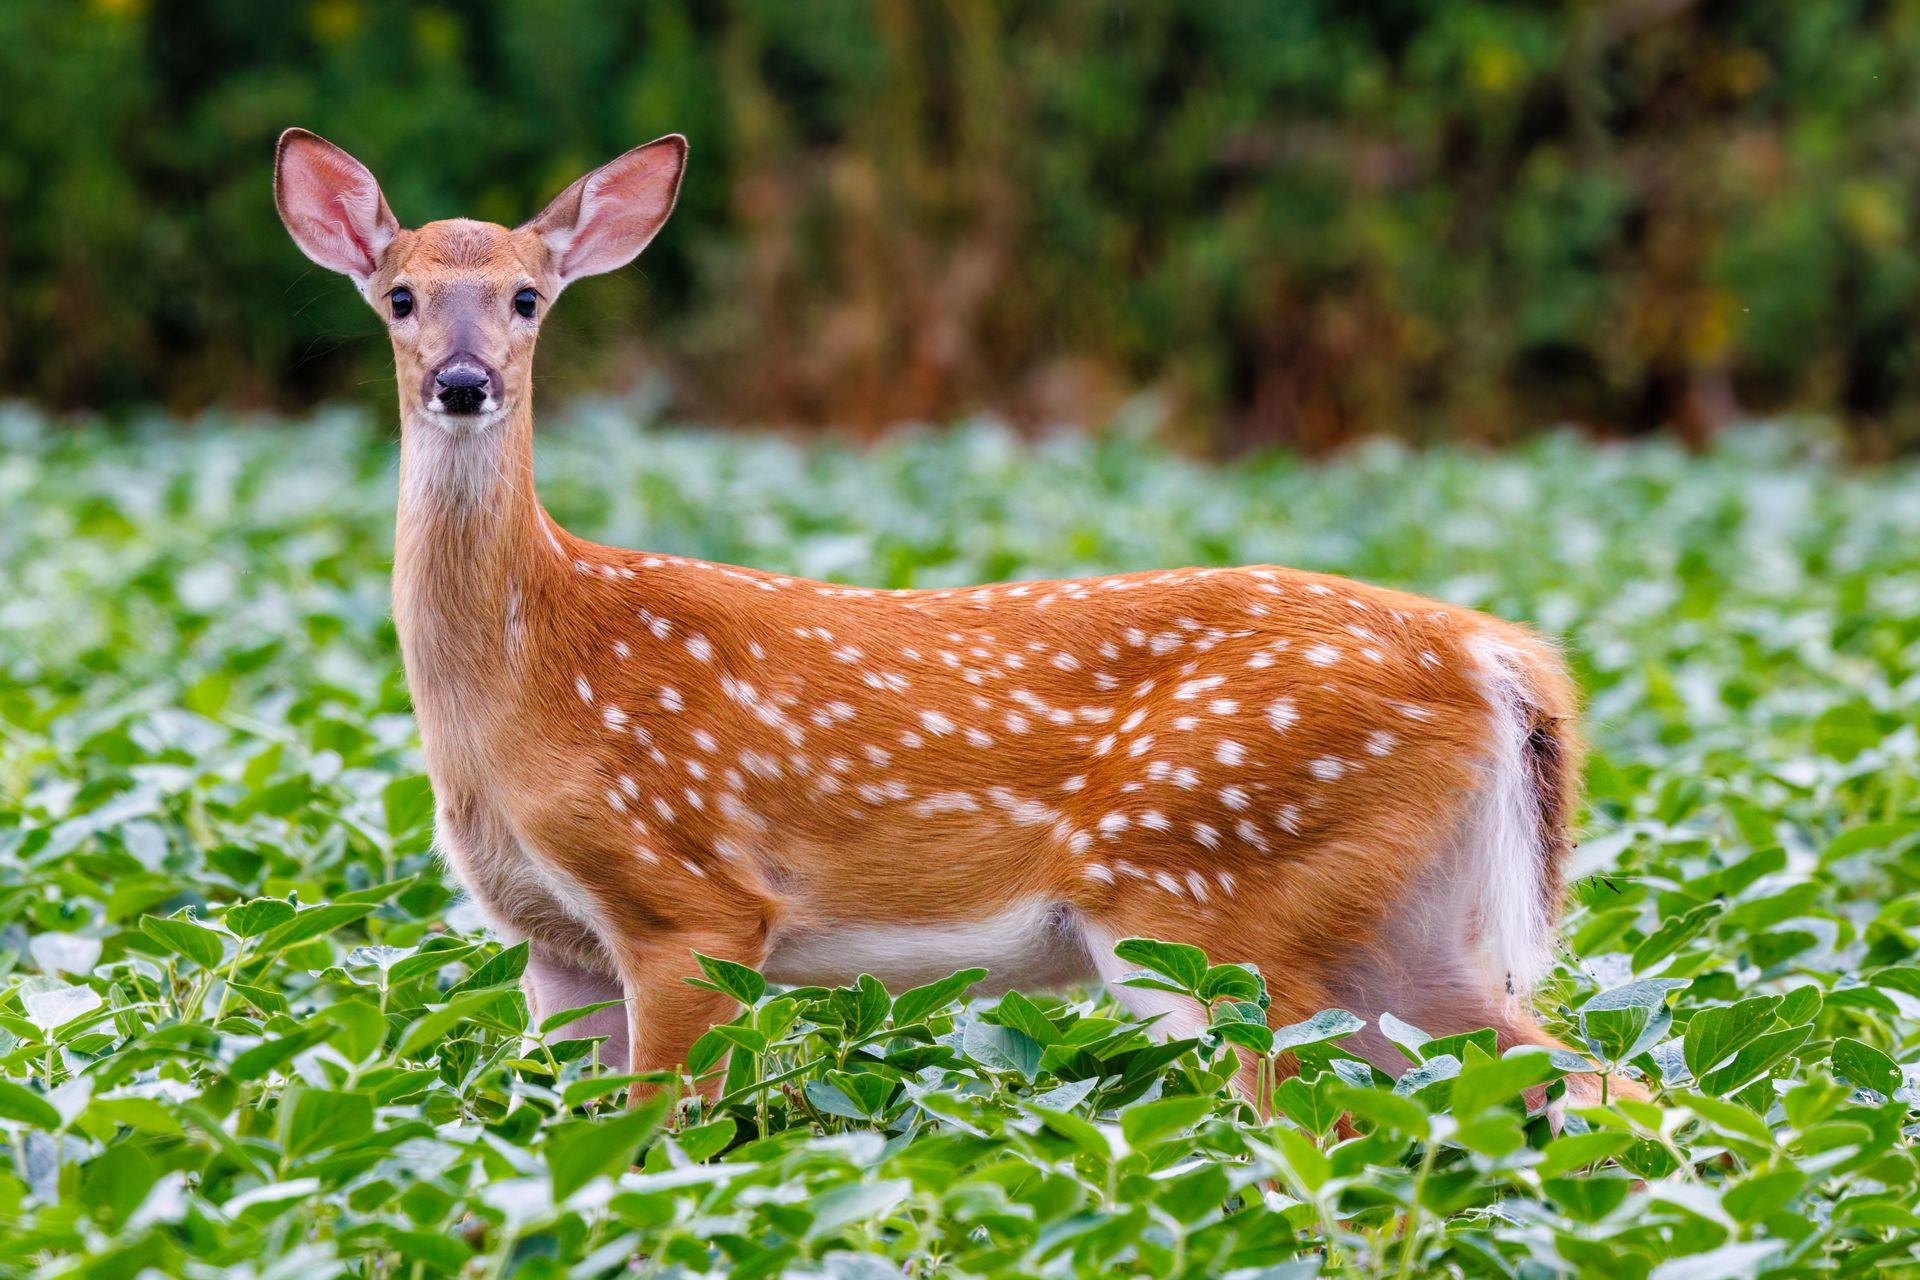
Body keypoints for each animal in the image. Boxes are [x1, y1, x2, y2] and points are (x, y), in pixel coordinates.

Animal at [274, 127, 1615, 1111]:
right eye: (399, 297)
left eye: (526, 298)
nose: (464, 382)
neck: (530, 680)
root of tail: (1503, 661)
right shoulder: (552, 942)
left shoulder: (689, 896)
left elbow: (666, 1131)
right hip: (1396, 926)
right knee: (1575, 1082)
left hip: (1215, 895)